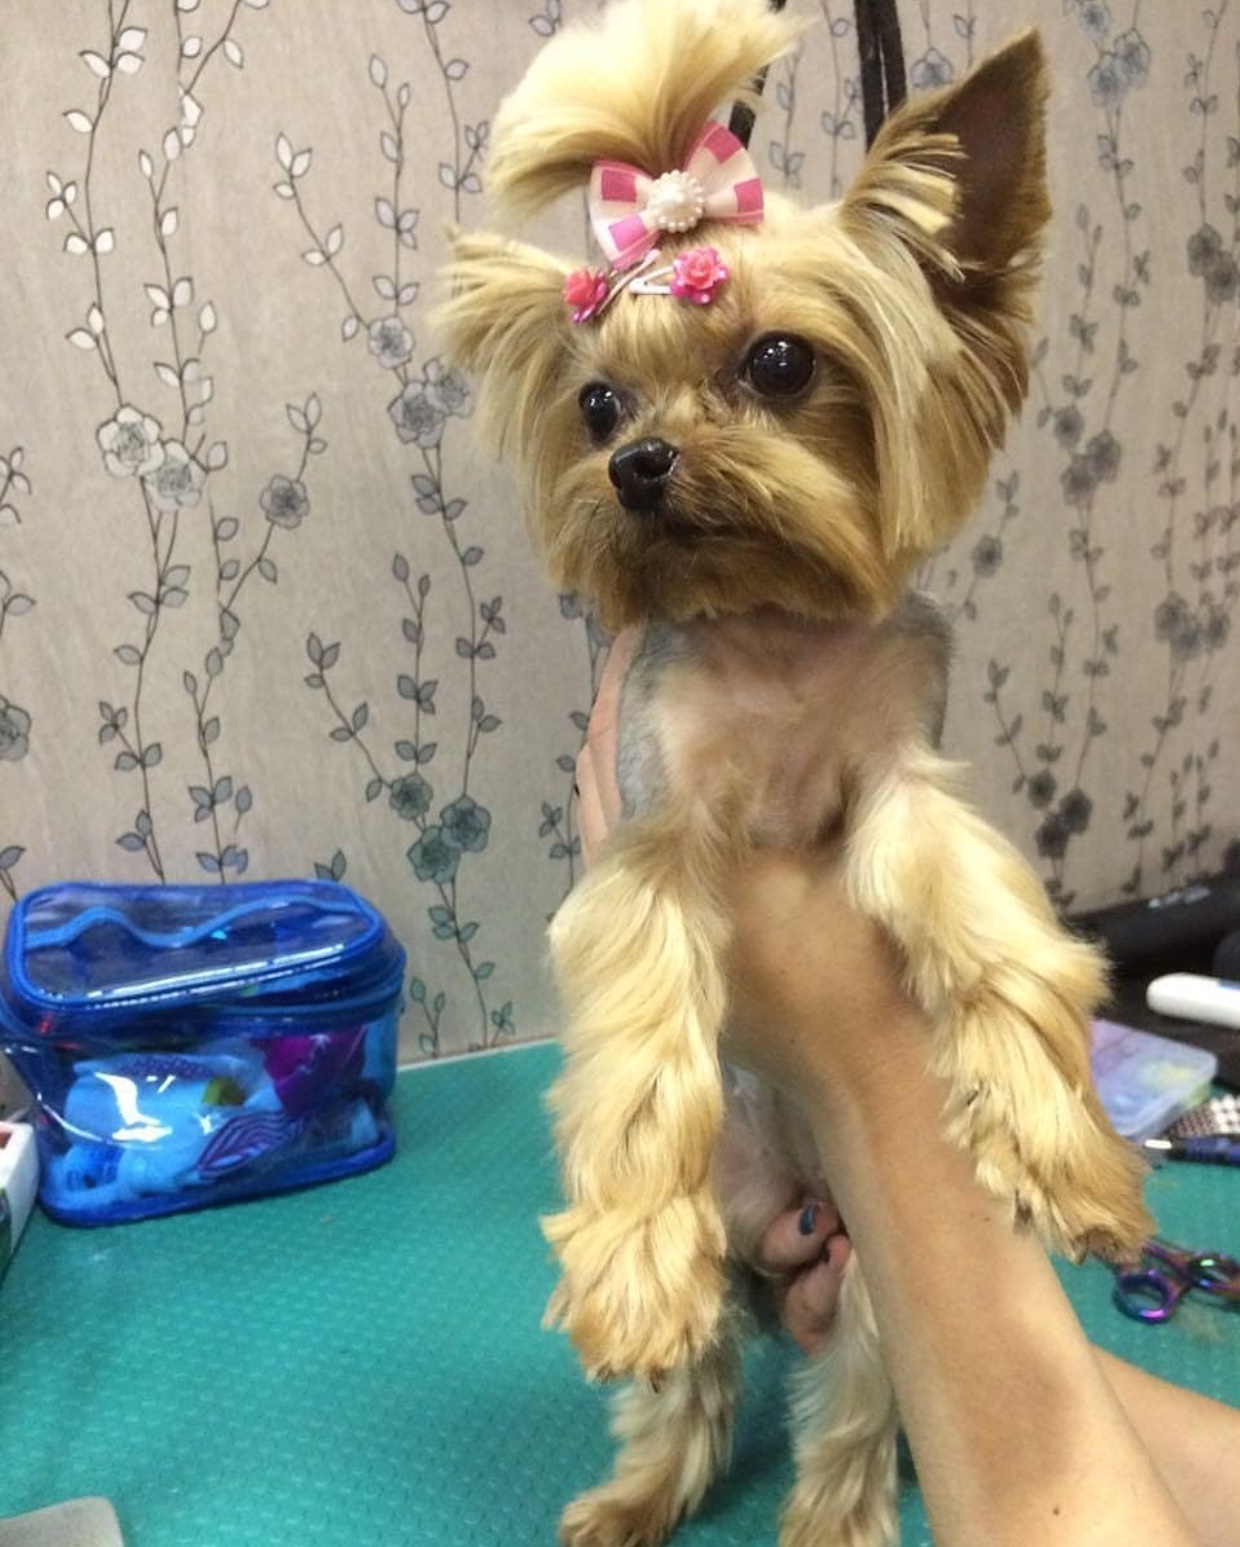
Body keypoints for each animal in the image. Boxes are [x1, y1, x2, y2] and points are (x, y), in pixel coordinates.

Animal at [436, 6, 1150, 1540]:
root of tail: (786, 1252)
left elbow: (985, 926)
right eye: (596, 401)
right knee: (689, 1387)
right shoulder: (655, 821)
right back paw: (635, 1485)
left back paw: (828, 1509)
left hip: (874, 1283)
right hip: (726, 1219)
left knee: (853, 1419)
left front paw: (1056, 1144)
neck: (768, 630)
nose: (640, 463)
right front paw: (629, 1270)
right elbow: (645, 1031)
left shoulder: (897, 775)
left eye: (776, 363)